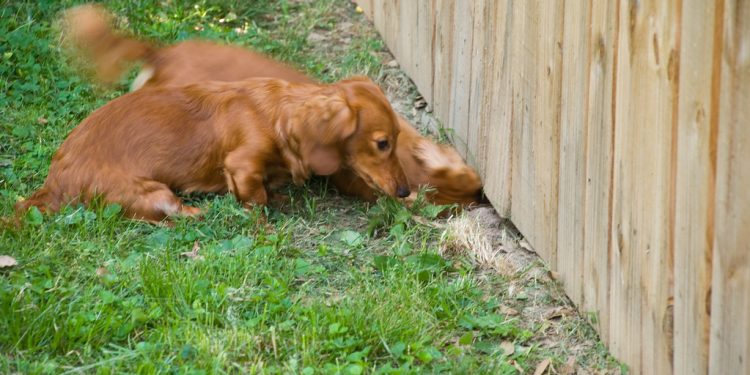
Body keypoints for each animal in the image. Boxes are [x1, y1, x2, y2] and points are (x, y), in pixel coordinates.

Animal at [16, 76, 412, 223]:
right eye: (382, 143)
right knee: (168, 212)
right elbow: (255, 198)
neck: (277, 115)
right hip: (152, 193)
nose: (405, 191)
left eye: (396, 138)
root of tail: (56, 180)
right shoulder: (241, 164)